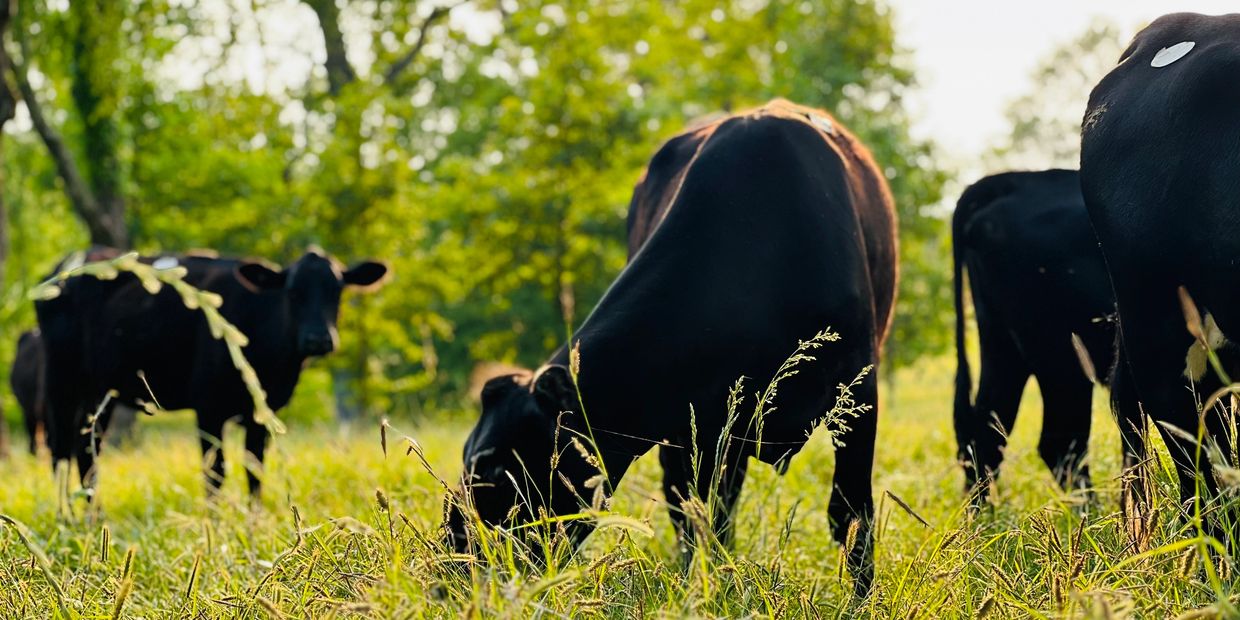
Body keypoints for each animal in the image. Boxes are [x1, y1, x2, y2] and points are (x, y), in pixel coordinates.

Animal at [37, 249, 386, 496]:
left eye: (337, 290)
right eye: (292, 292)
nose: (318, 338)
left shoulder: (263, 413)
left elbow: (254, 472)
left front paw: (254, 526)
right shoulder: (208, 408)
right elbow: (215, 473)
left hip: (99, 392)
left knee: (88, 452)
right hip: (60, 382)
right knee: (60, 452)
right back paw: (66, 516)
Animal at [451, 99, 897, 592]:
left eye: (495, 471)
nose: (455, 558)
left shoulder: (858, 391)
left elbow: (850, 514)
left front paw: (861, 598)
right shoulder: (693, 426)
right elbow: (698, 512)